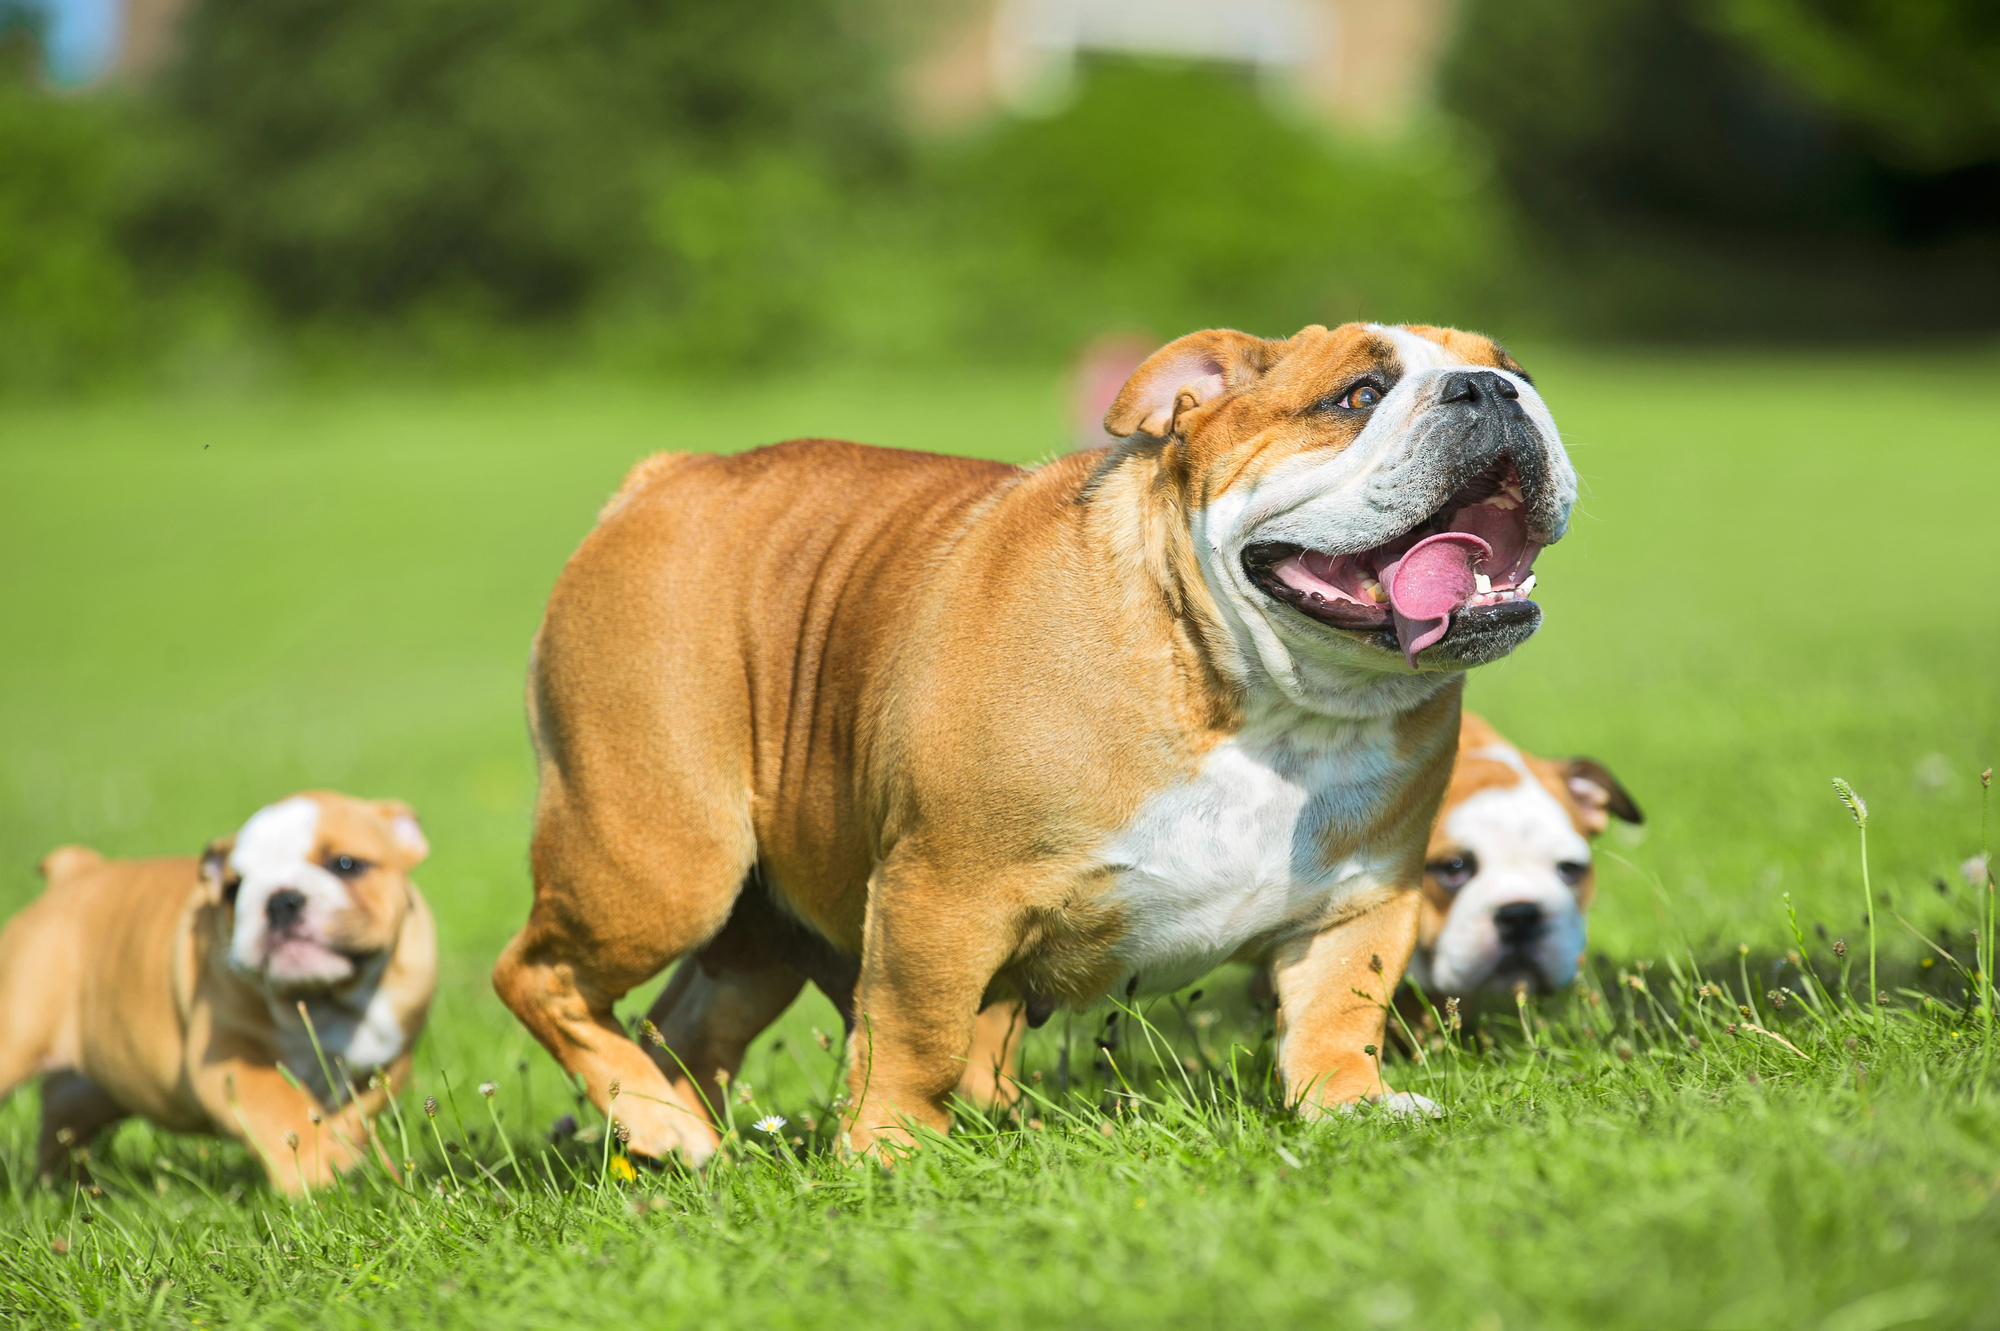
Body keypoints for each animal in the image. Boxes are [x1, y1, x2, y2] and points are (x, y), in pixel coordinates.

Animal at [492, 319, 1568, 1151]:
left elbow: (1338, 1016)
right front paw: (891, 1150)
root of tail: (664, 477)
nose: (1491, 387)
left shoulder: (1362, 899)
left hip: (755, 922)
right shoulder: (941, 895)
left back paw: (686, 1139)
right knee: (537, 974)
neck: (1261, 699)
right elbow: (917, 1034)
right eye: (1358, 395)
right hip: (658, 861)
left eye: (1516, 366)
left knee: (692, 1023)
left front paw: (1352, 1109)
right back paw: (663, 1125)